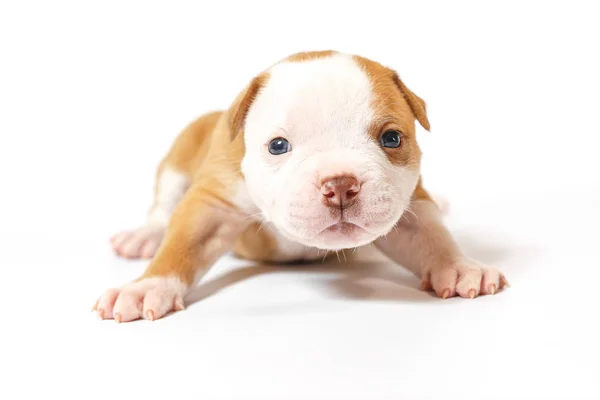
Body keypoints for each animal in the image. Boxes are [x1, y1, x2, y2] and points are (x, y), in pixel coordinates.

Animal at [96, 50, 508, 324]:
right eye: (278, 146)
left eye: (391, 139)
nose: (340, 184)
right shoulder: (212, 205)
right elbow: (182, 246)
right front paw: (147, 287)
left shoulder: (408, 207)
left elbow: (432, 237)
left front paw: (458, 267)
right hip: (176, 164)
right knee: (162, 206)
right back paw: (143, 237)